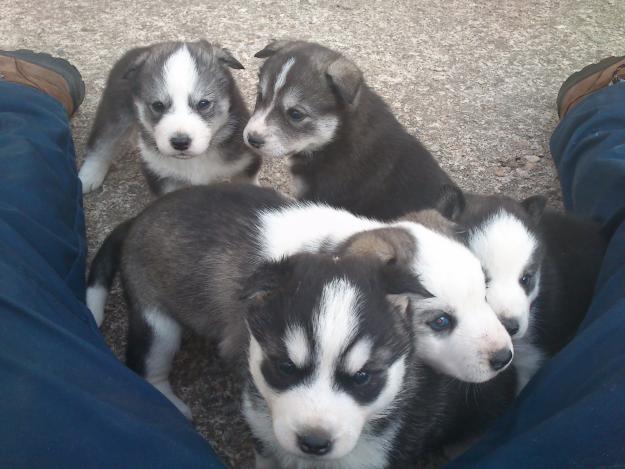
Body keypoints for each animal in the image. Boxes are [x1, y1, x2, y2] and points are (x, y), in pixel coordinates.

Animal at [78, 38, 258, 196]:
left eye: (203, 103)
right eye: (158, 105)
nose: (180, 142)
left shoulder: (246, 162)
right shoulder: (161, 176)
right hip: (115, 113)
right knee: (101, 143)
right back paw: (88, 176)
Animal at [86, 182, 512, 416]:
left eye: (484, 291)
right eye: (440, 321)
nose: (505, 358)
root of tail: (132, 221)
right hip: (157, 322)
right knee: (148, 366)